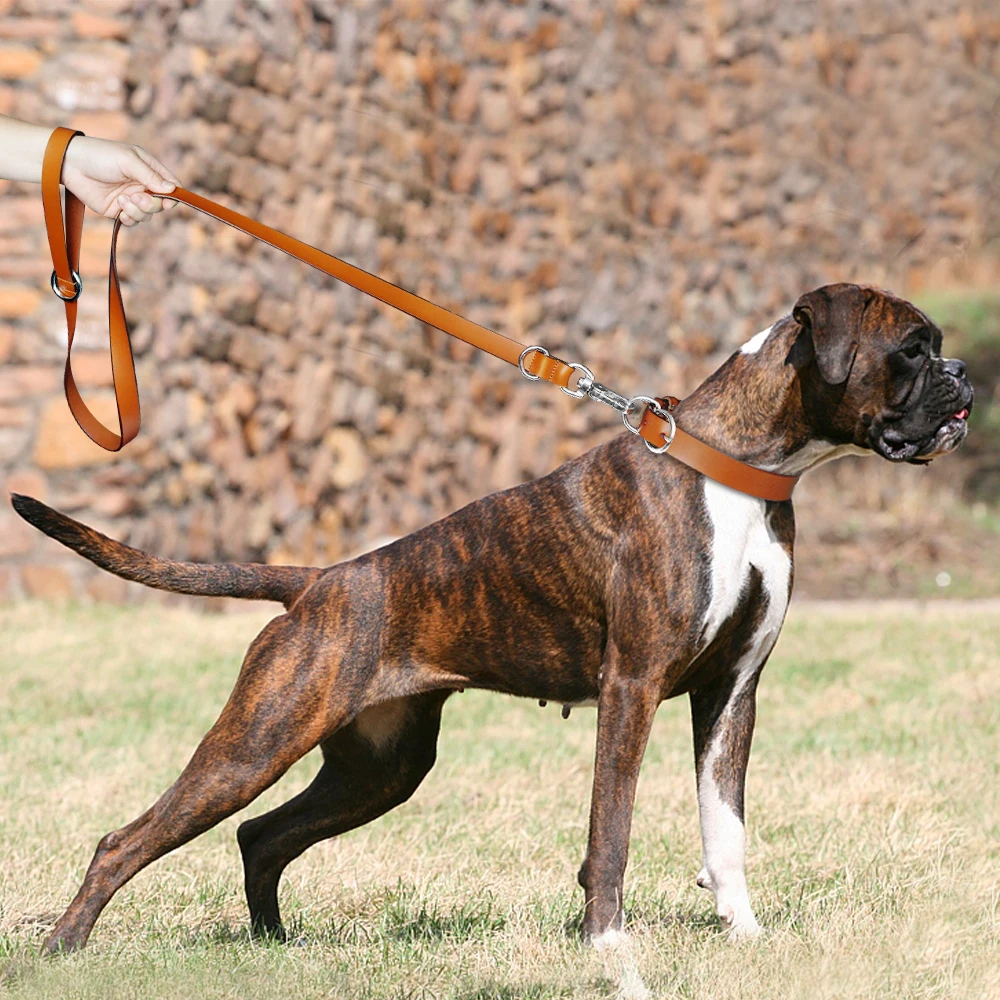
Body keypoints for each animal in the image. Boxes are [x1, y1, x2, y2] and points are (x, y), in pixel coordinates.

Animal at [11, 282, 972, 952]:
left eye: (936, 350)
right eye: (911, 350)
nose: (964, 377)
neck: (738, 469)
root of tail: (320, 582)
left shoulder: (732, 694)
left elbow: (724, 828)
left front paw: (745, 936)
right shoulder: (633, 687)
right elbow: (612, 828)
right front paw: (606, 944)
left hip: (381, 768)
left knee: (261, 836)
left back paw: (273, 947)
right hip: (257, 741)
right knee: (127, 840)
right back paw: (64, 949)